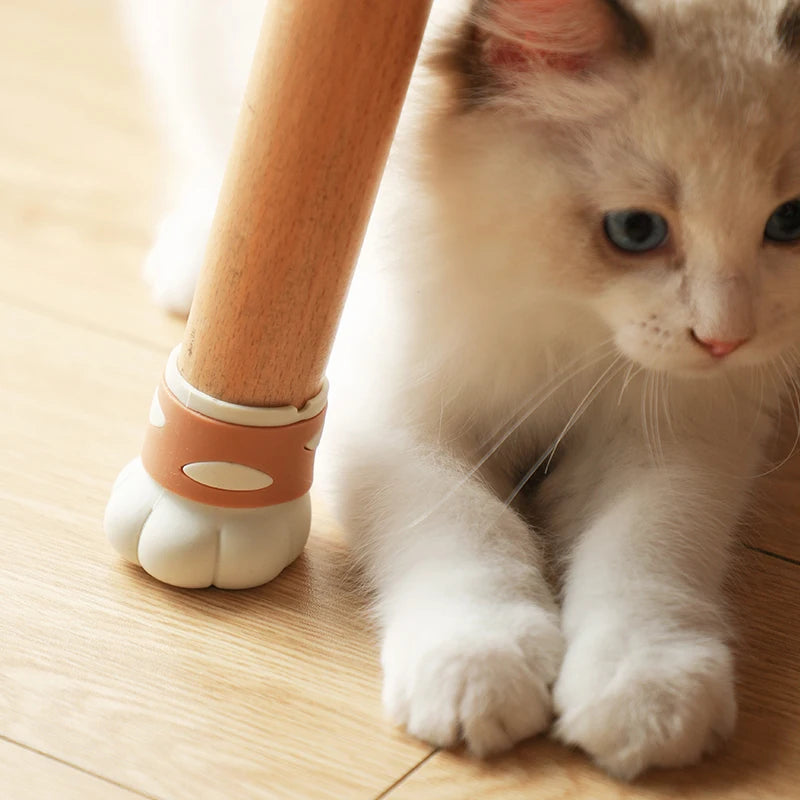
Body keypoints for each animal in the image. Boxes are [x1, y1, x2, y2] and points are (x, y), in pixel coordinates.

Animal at [122, 0, 800, 780]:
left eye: (790, 222)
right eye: (635, 230)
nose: (726, 339)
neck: (565, 323)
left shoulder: (683, 433)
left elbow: (650, 547)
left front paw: (646, 690)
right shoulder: (397, 416)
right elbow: (469, 527)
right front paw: (478, 661)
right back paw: (192, 265)